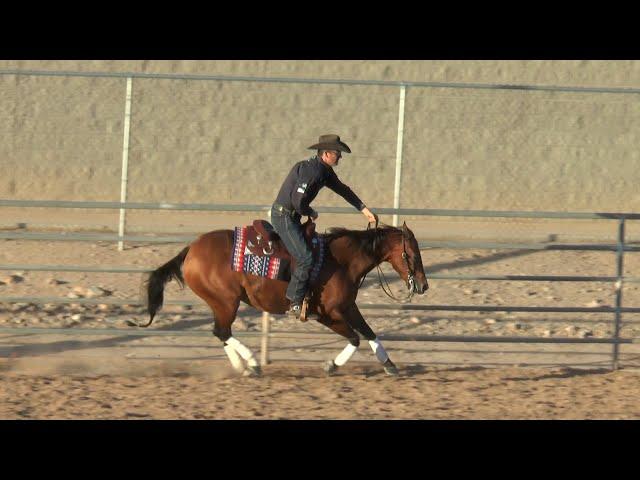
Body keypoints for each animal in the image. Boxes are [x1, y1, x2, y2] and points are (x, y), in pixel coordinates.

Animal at [140, 219, 430, 376]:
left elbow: (369, 333)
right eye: (413, 254)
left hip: (220, 303)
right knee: (222, 331)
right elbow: (355, 338)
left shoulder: (348, 307)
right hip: (226, 302)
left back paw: (243, 367)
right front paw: (331, 365)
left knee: (221, 332)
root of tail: (191, 249)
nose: (423, 285)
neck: (341, 261)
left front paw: (389, 365)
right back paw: (252, 363)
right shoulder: (327, 314)